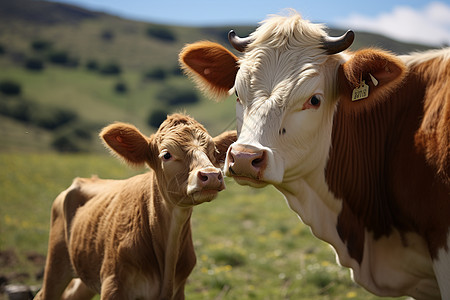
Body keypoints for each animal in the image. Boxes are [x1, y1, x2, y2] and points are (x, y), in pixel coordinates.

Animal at [34, 113, 236, 298]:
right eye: (167, 154)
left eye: (215, 152)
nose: (211, 175)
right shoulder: (113, 284)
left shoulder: (178, 290)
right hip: (56, 262)